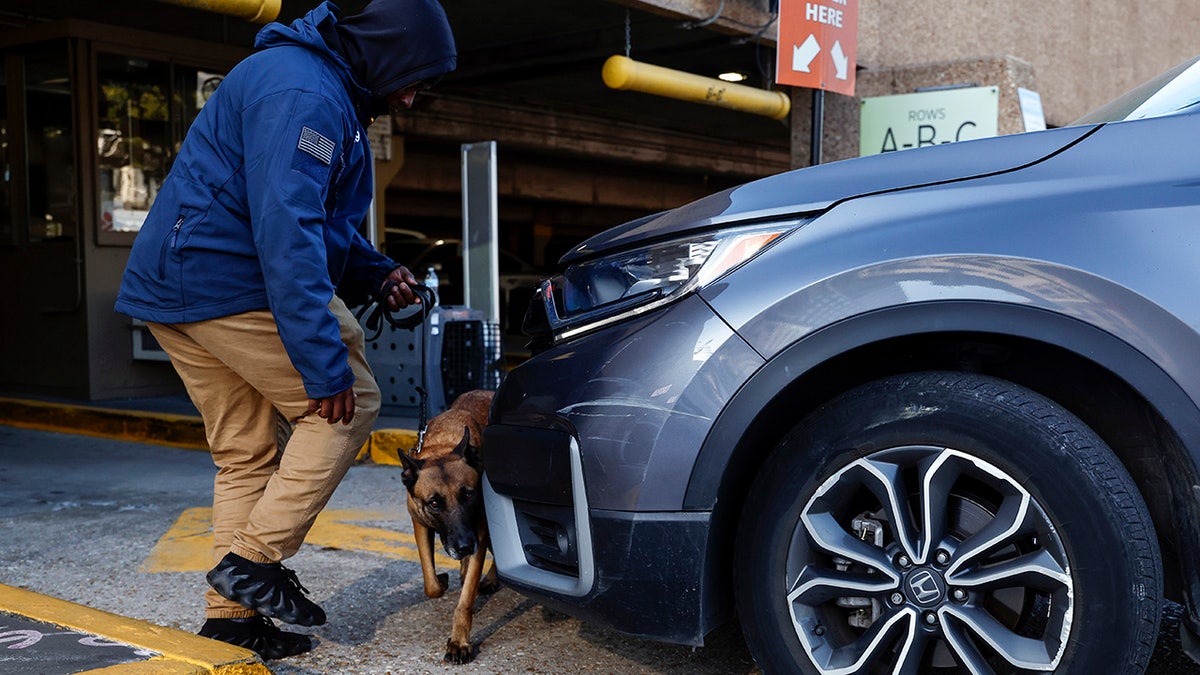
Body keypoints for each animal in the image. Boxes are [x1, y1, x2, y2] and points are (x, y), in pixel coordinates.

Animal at [400, 389, 499, 662]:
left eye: (468, 495)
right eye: (435, 503)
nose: (464, 547)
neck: (443, 447)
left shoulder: (479, 536)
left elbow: (464, 602)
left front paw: (459, 642)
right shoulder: (420, 525)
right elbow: (431, 584)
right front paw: (441, 581)